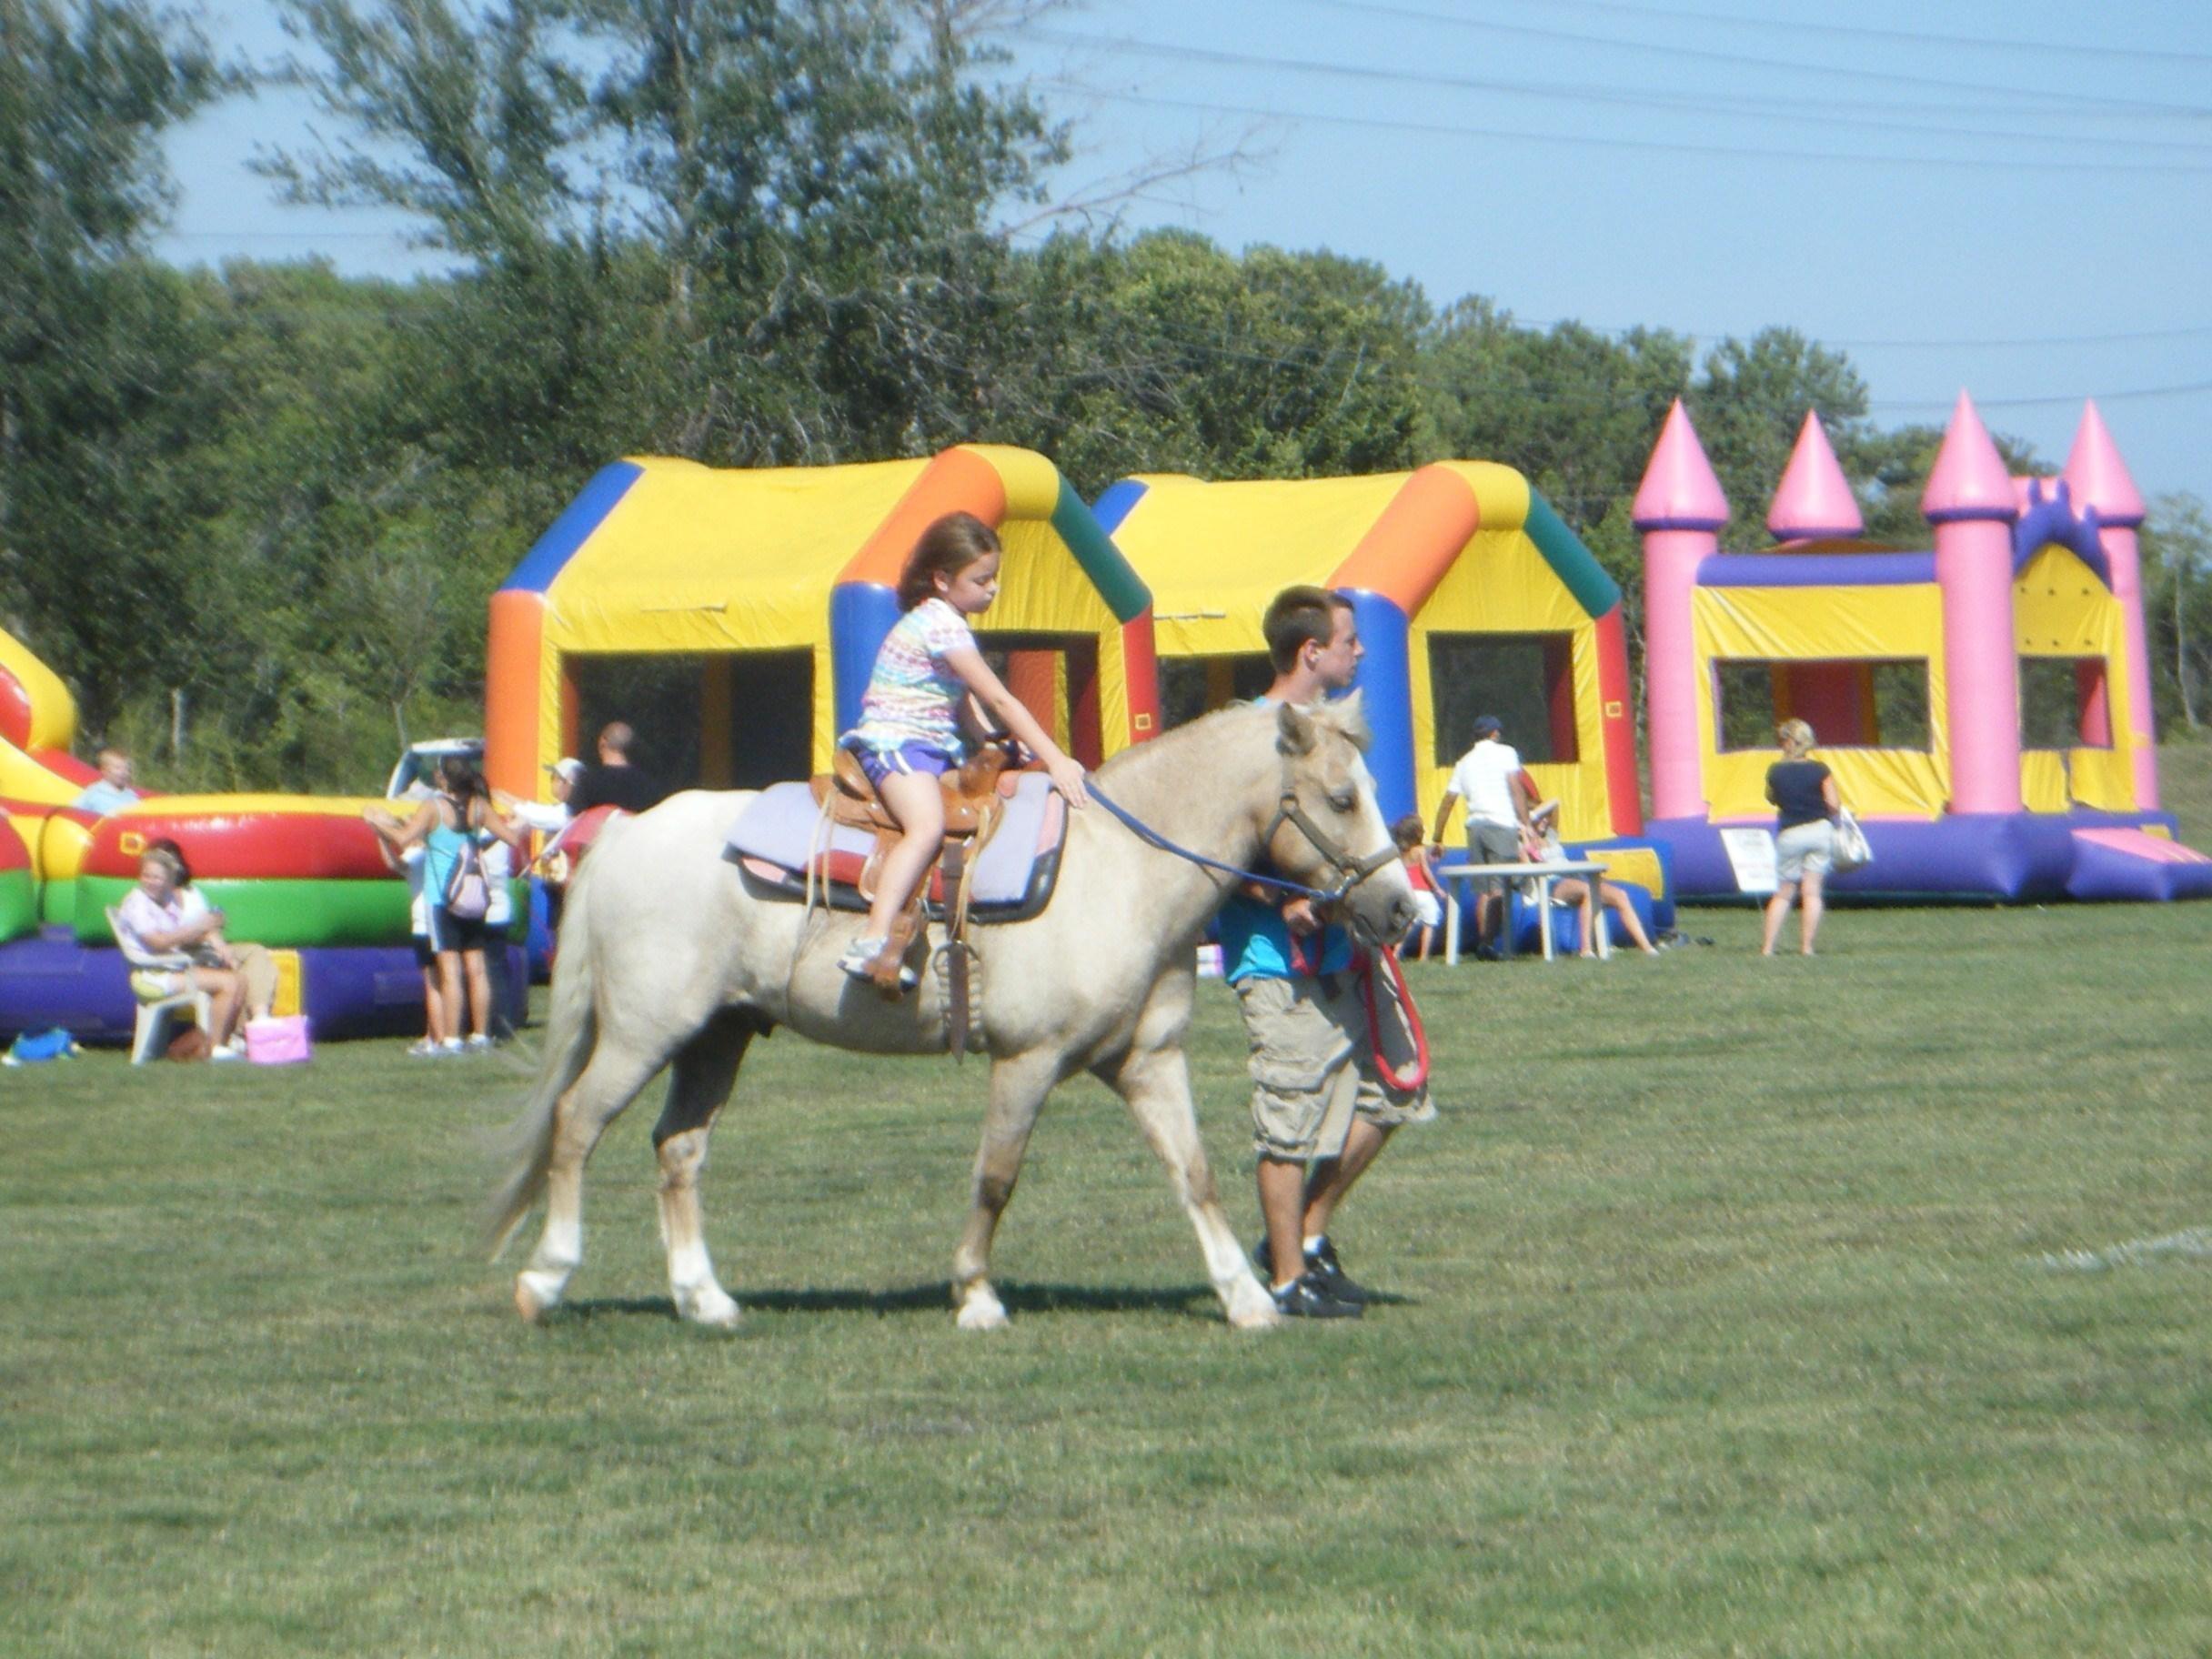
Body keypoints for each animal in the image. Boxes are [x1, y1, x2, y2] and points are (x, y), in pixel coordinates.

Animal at [484, 699, 1415, 1335]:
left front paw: (1246, 1297)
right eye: (1340, 797)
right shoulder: (1028, 1060)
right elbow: (995, 1176)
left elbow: (1196, 1173)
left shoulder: (1148, 1059)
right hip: (643, 1034)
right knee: (575, 1126)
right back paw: (545, 1280)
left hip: (717, 1038)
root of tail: (625, 836)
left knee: (677, 1151)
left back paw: (703, 1297)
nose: (1404, 909)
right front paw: (974, 1293)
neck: (1119, 867)